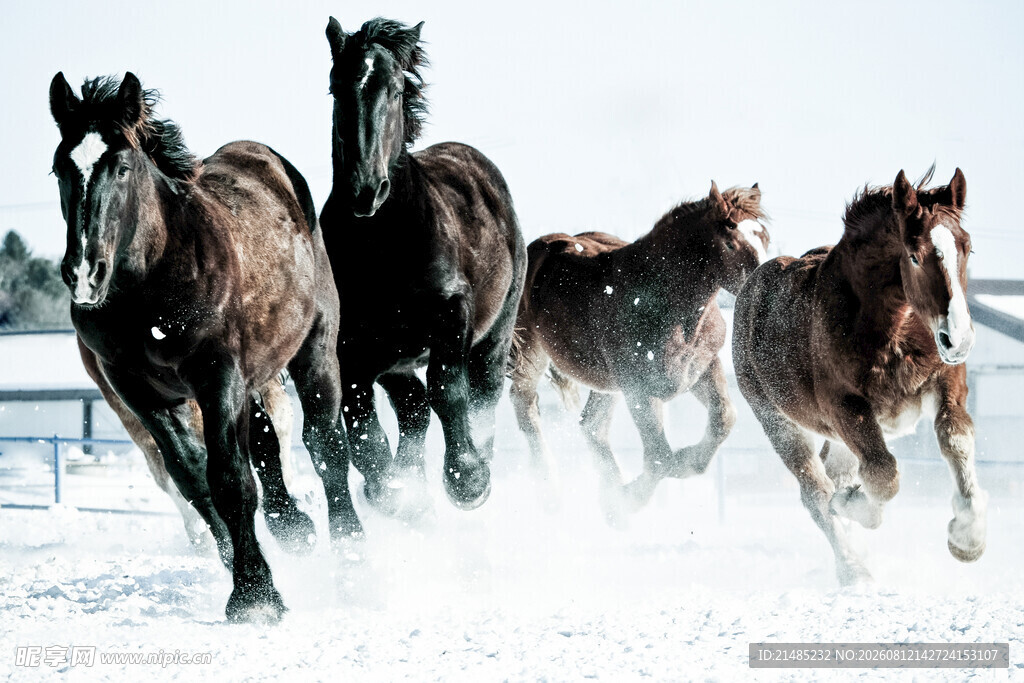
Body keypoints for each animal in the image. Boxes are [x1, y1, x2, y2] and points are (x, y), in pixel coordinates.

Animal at [321, 18, 527, 514]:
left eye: (395, 90)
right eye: (336, 87)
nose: (365, 190)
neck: (385, 247)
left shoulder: (451, 314)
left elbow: (448, 390)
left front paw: (468, 480)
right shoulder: (352, 351)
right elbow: (363, 426)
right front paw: (391, 490)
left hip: (493, 336)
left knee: (481, 395)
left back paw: (478, 463)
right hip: (396, 358)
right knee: (412, 408)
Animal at [510, 183, 770, 519]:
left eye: (764, 237)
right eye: (729, 242)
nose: (761, 288)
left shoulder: (700, 371)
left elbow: (724, 418)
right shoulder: (639, 390)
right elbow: (661, 456)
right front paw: (632, 497)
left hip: (607, 384)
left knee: (590, 425)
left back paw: (609, 498)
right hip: (530, 353)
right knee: (527, 407)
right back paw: (552, 493)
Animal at [732, 168, 986, 585]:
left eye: (966, 248)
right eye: (914, 256)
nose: (958, 339)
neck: (890, 331)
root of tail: (749, 289)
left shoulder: (945, 381)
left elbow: (955, 438)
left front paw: (968, 539)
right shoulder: (846, 407)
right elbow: (883, 475)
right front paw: (851, 503)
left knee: (835, 472)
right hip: (779, 422)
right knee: (816, 489)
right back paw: (853, 569)